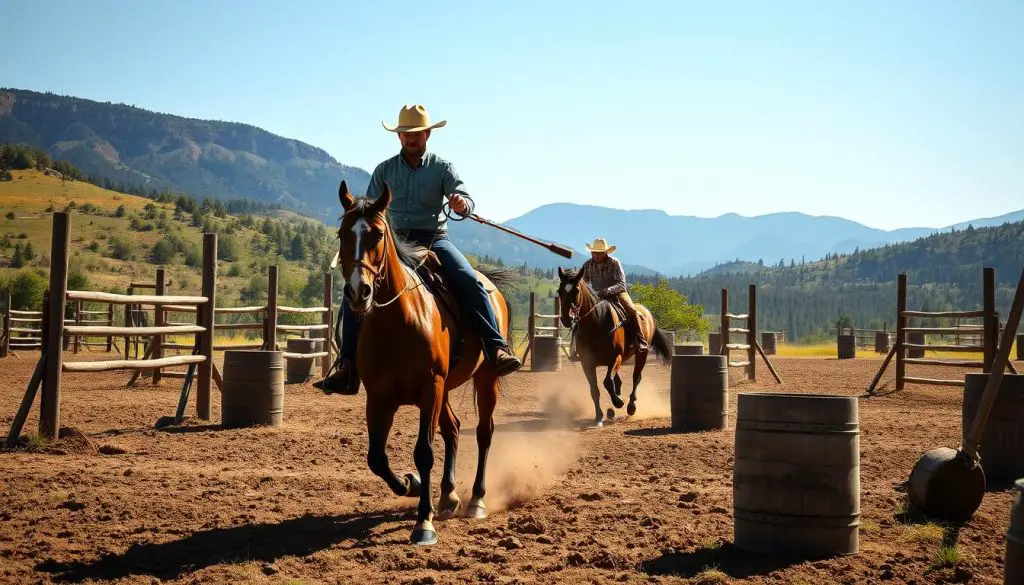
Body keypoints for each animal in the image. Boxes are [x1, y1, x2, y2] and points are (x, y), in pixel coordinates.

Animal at [331, 181, 516, 549]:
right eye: (343, 233)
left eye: (377, 234)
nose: (359, 292)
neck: (397, 321)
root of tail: (490, 284)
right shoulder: (379, 397)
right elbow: (377, 458)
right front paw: (411, 484)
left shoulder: (430, 389)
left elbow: (424, 452)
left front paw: (423, 523)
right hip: (445, 390)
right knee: (454, 429)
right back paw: (448, 496)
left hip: (484, 378)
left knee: (484, 432)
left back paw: (476, 500)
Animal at [561, 266, 671, 426]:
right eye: (559, 291)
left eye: (576, 291)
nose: (566, 318)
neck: (596, 324)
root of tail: (647, 312)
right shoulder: (587, 363)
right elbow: (594, 389)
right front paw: (599, 416)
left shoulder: (615, 357)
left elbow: (607, 382)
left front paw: (619, 402)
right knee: (617, 380)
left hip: (641, 354)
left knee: (636, 377)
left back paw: (631, 406)